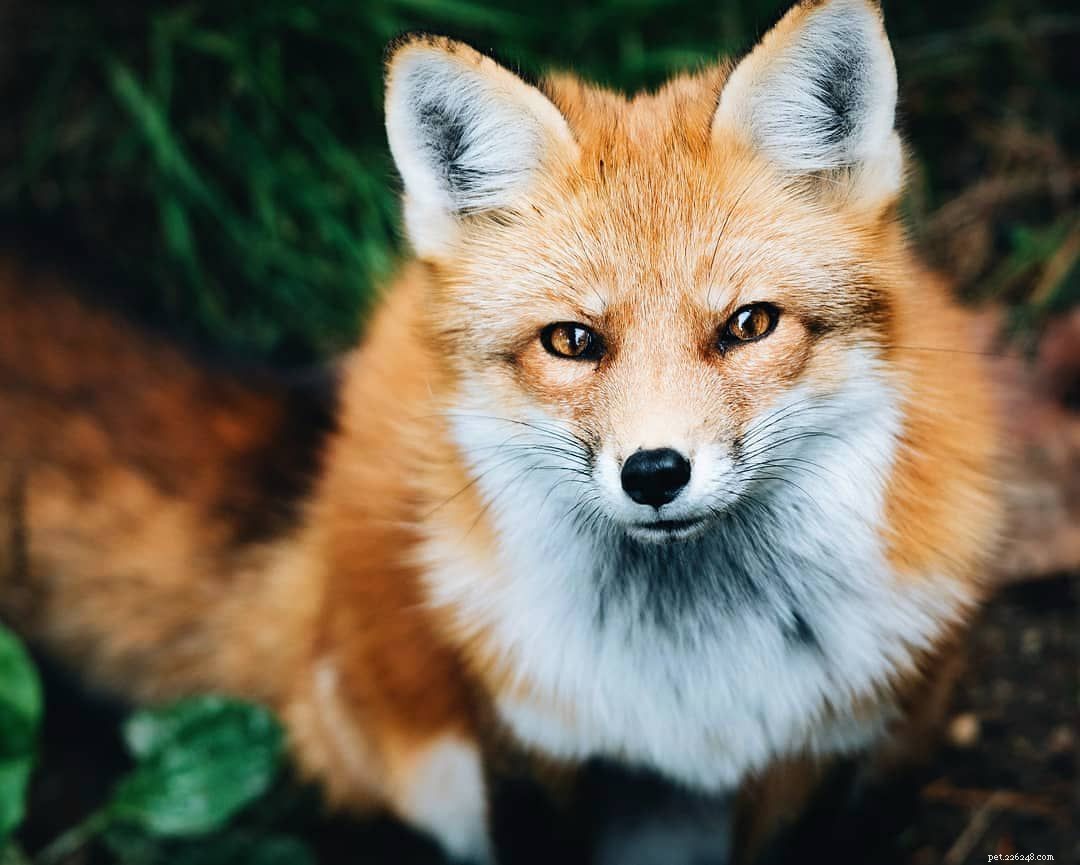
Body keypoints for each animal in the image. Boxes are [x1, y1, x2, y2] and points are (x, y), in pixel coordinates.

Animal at [0, 0, 1002, 862]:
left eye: (750, 324)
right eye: (571, 341)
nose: (655, 471)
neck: (693, 673)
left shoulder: (838, 750)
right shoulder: (522, 746)